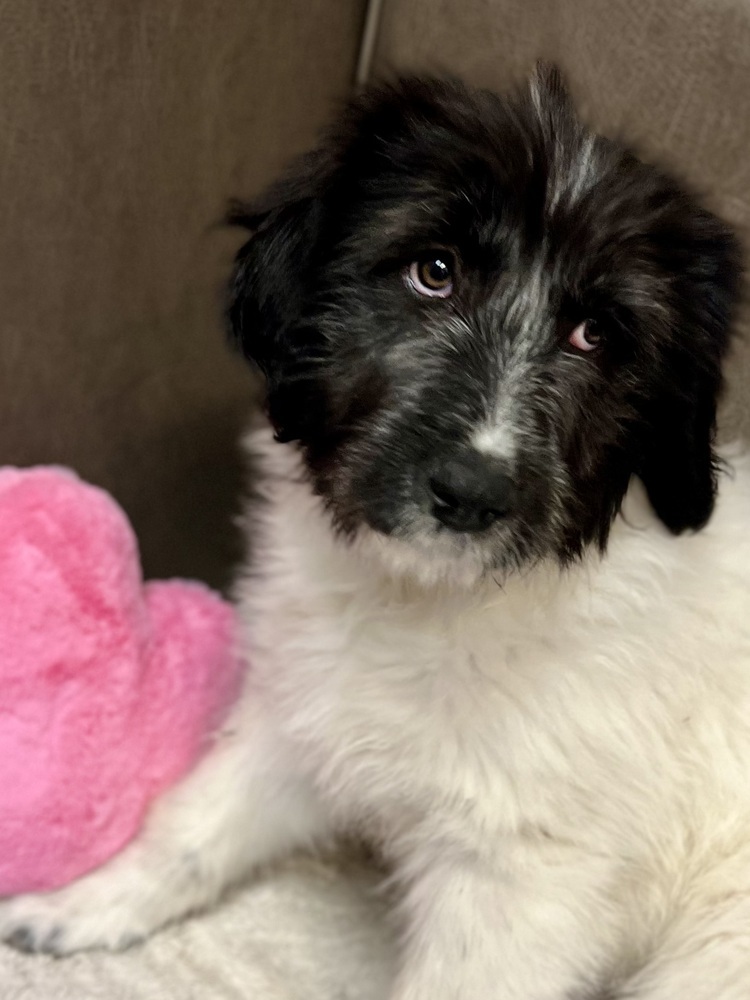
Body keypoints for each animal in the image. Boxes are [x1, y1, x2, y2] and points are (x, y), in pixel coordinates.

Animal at [2, 64, 748, 1000]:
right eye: (434, 271)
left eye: (596, 334)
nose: (471, 493)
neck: (430, 599)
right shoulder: (303, 715)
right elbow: (197, 826)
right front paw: (81, 905)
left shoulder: (522, 880)